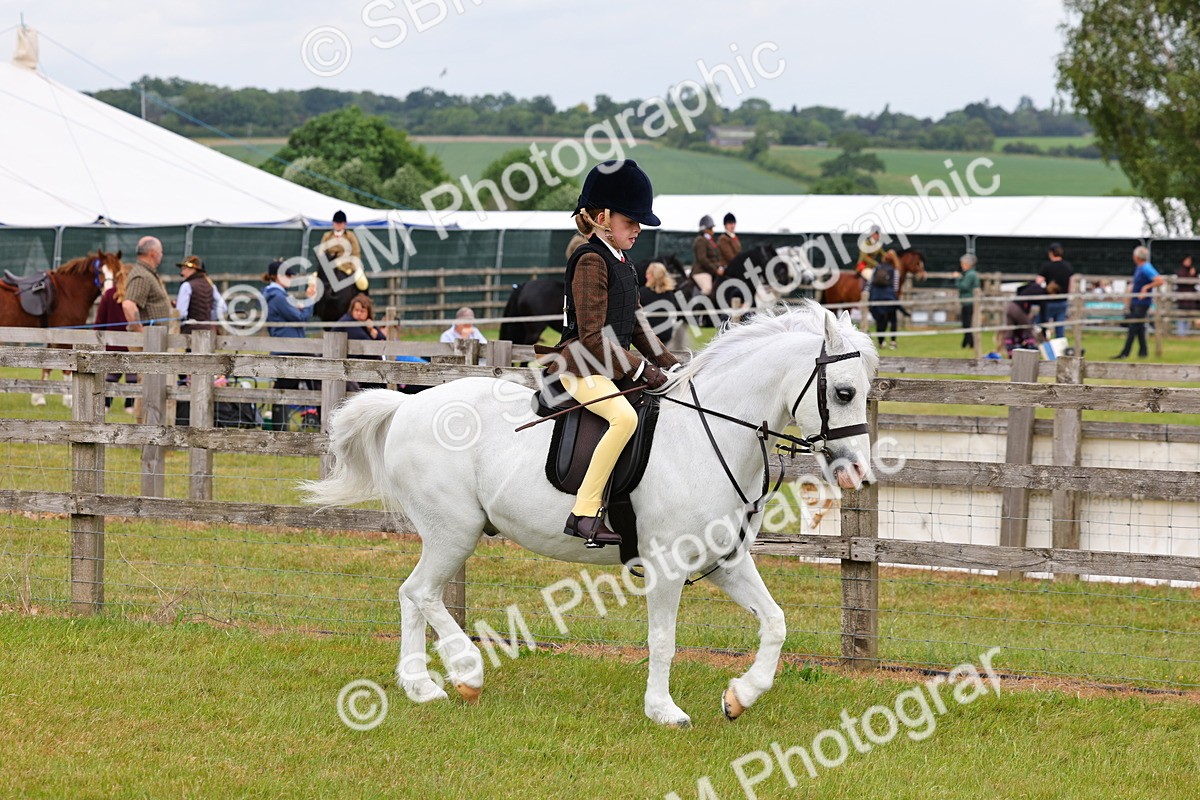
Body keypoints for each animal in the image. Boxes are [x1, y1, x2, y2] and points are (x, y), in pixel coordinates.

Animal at [0, 251, 120, 406]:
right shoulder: (65, 336)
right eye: (100, 271)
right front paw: (69, 399)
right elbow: (67, 369)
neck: (67, 292)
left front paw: (38, 397)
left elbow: (47, 368)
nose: (109, 290)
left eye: (116, 271)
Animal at [302, 302, 878, 727]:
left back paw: (420, 685)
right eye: (844, 392)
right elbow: (664, 640)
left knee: (412, 596)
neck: (709, 432)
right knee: (420, 593)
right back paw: (464, 673)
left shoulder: (725, 561)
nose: (858, 473)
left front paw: (740, 696)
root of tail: (408, 405)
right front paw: (664, 711)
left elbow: (775, 623)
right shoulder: (667, 566)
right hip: (454, 531)